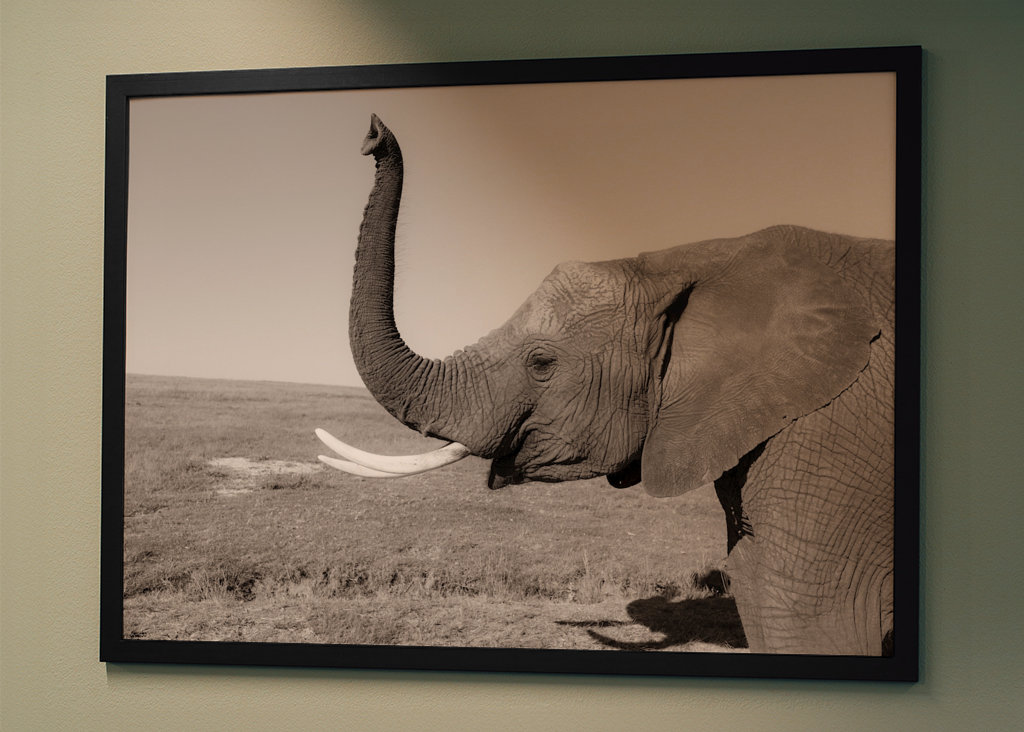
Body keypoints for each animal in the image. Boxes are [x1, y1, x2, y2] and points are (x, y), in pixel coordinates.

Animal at [317, 114, 895, 656]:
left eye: (542, 363)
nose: (373, 134)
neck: (692, 263)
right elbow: (755, 583)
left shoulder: (833, 433)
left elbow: (801, 609)